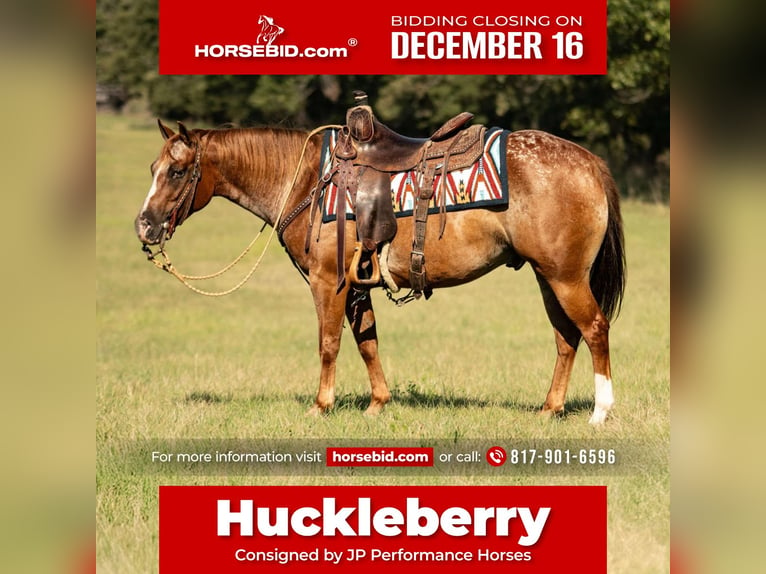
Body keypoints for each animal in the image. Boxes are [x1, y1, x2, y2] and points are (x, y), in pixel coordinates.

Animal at [135, 120, 628, 428]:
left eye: (178, 171)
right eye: (153, 168)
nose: (144, 225)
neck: (308, 181)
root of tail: (588, 161)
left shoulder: (329, 281)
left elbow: (329, 344)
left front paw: (321, 405)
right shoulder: (358, 286)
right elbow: (367, 342)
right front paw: (377, 404)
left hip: (566, 277)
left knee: (594, 329)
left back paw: (600, 411)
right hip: (548, 277)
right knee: (566, 338)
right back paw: (549, 409)